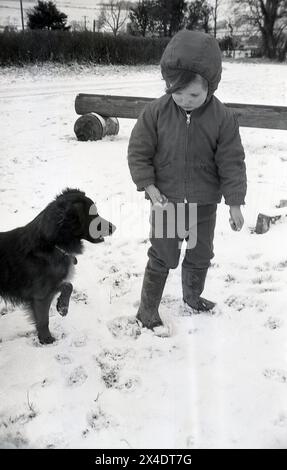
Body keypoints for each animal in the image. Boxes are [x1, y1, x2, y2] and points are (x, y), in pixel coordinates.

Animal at [0, 188, 117, 346]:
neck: (52, 244)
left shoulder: (49, 288)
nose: (114, 228)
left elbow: (68, 285)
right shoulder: (41, 294)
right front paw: (46, 339)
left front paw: (62, 307)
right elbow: (44, 320)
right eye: (93, 214)